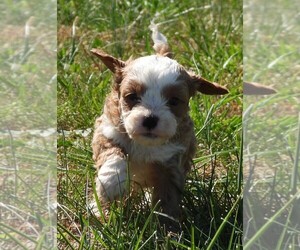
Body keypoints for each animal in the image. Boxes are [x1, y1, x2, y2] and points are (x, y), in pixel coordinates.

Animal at [90, 23, 229, 230]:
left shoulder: (172, 163)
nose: (150, 119)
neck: (145, 144)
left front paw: (165, 230)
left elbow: (166, 199)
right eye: (132, 96)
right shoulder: (107, 129)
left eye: (174, 101)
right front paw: (111, 182)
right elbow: (112, 153)